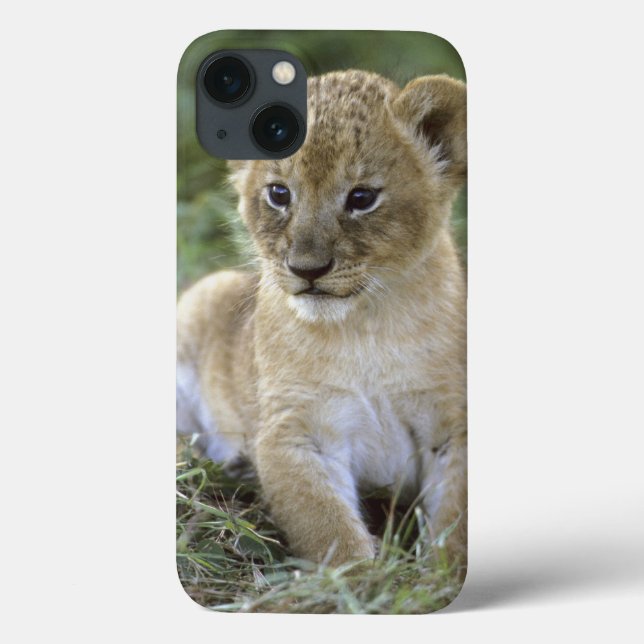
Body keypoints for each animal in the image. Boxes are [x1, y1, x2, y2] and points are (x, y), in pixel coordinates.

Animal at [177, 70, 467, 568]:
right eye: (279, 194)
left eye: (362, 197)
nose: (307, 269)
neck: (365, 327)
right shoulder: (294, 431)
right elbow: (327, 528)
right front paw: (363, 577)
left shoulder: (452, 425)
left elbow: (455, 523)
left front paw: (439, 574)